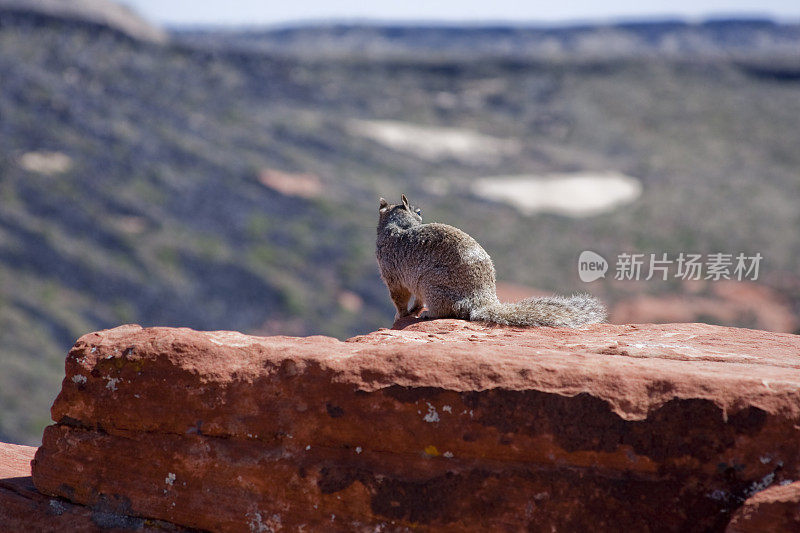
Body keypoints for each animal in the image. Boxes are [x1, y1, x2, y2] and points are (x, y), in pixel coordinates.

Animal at [376, 194, 608, 326]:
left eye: (420, 210)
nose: (420, 212)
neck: (397, 226)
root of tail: (482, 301)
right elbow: (414, 300)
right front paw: (412, 311)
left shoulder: (392, 276)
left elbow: (399, 299)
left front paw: (400, 316)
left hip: (431, 283)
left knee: (448, 310)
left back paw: (428, 315)